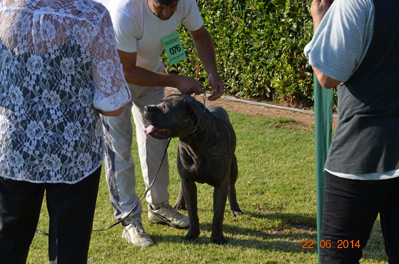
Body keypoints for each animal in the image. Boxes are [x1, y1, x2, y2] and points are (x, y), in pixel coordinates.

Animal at [144, 94, 244, 244]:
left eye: (165, 107)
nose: (145, 107)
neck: (195, 142)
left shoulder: (220, 185)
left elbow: (218, 214)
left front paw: (217, 237)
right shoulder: (188, 180)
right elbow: (192, 211)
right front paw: (192, 234)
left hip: (233, 167)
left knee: (231, 187)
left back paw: (235, 208)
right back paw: (179, 203)